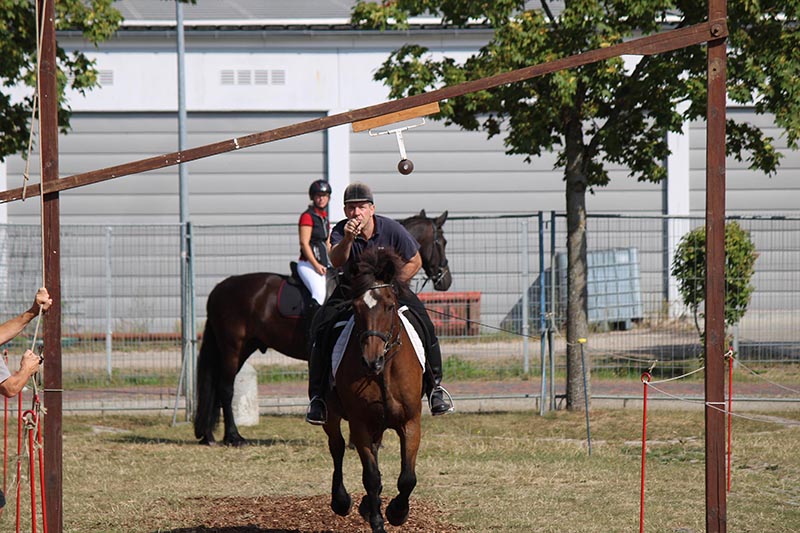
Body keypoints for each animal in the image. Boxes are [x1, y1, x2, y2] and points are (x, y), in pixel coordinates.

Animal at [193, 210, 451, 446]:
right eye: (442, 242)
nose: (445, 280)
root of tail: (218, 289)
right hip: (232, 347)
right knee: (225, 388)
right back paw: (233, 436)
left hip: (245, 346)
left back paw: (210, 436)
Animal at [323, 247, 424, 533]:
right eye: (356, 307)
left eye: (389, 305)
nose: (371, 360)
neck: (384, 372)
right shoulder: (360, 424)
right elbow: (371, 475)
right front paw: (379, 520)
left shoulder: (411, 422)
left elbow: (407, 478)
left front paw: (397, 512)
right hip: (331, 414)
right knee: (337, 446)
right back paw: (342, 501)